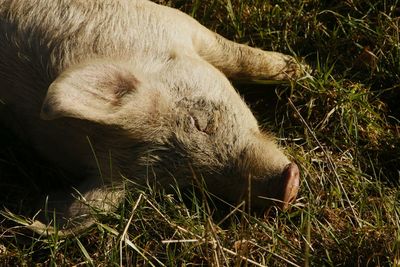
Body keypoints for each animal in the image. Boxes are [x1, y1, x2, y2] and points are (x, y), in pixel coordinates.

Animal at [0, 0, 300, 232]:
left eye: (201, 123)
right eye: (185, 185)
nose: (288, 187)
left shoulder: (169, 20)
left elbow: (236, 56)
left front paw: (295, 67)